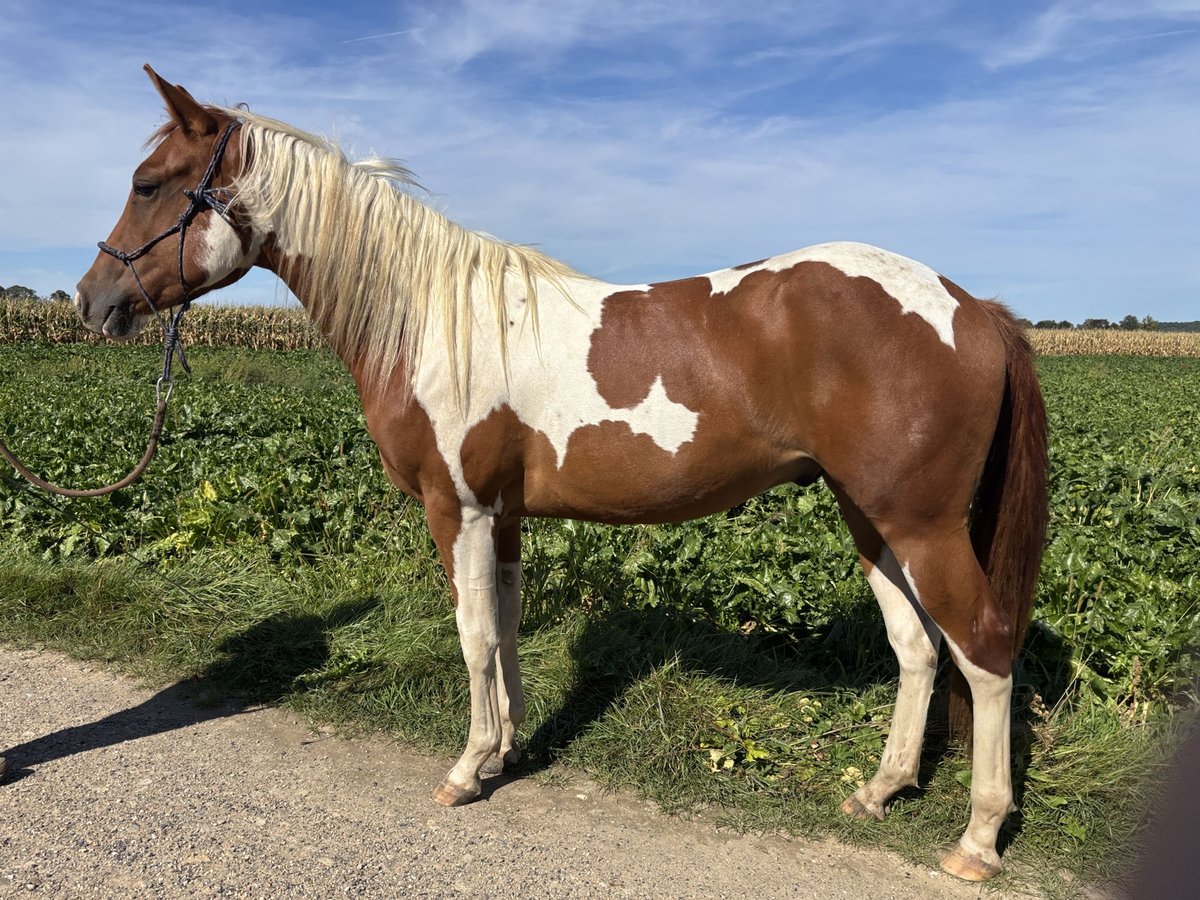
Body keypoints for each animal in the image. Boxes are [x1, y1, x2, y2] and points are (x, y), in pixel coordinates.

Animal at [73, 65, 1048, 882]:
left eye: (148, 184)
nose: (90, 302)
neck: (429, 318)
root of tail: (972, 306)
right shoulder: (503, 516)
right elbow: (505, 630)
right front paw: (506, 748)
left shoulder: (458, 510)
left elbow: (471, 635)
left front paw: (466, 770)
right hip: (869, 518)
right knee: (918, 649)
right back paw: (879, 792)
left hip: (920, 524)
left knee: (984, 651)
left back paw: (976, 840)